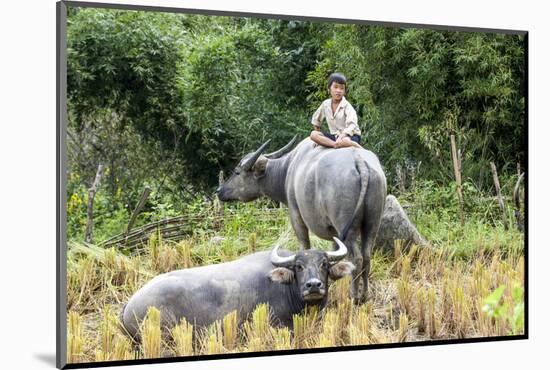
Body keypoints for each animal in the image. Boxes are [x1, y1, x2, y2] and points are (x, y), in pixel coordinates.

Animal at [217, 137, 388, 302]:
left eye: (237, 172)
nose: (219, 191)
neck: (287, 170)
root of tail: (359, 161)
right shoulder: (335, 234)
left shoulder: (296, 216)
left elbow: (305, 246)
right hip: (372, 225)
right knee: (367, 257)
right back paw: (365, 295)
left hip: (348, 229)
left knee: (357, 259)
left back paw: (354, 296)